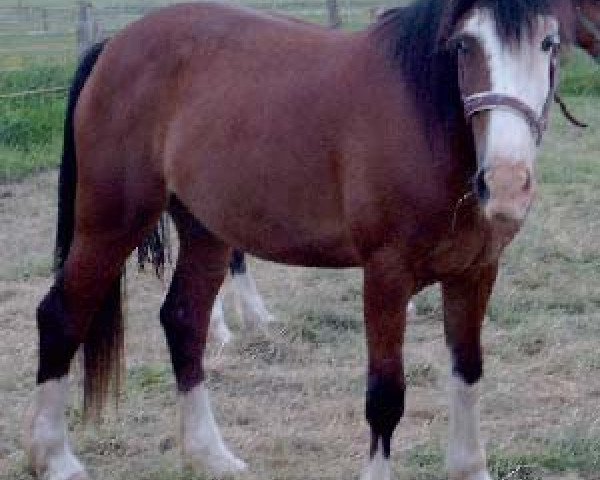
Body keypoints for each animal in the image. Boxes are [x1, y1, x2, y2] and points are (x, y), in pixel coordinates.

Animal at [23, 0, 576, 480]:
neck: (425, 121)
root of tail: (114, 45)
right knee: (61, 316)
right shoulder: (386, 275)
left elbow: (467, 373)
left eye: (549, 42)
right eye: (464, 45)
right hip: (109, 223)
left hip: (205, 230)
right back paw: (55, 459)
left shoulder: (475, 272)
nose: (505, 183)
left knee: (184, 322)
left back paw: (211, 456)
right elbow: (385, 395)